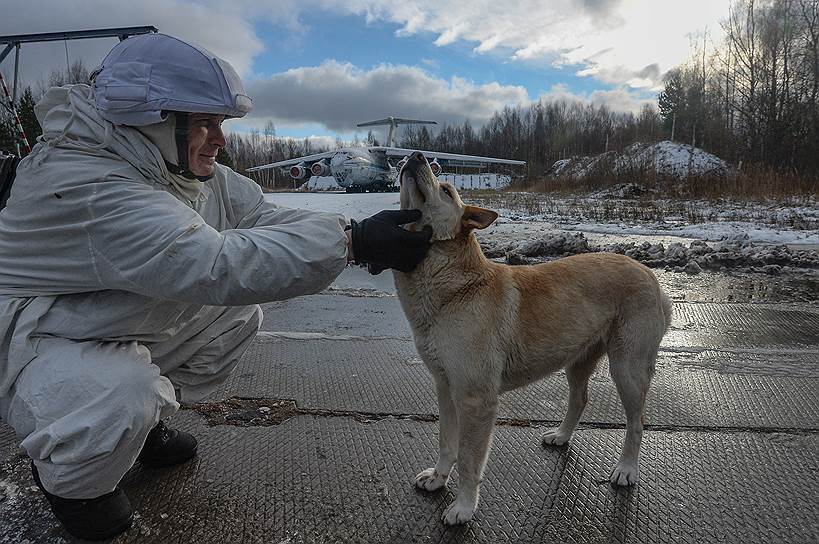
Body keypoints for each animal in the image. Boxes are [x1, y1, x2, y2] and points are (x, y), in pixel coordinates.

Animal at [396, 151, 672, 524]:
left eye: (447, 190)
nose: (415, 156)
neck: (454, 287)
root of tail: (649, 274)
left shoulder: (476, 399)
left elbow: (468, 459)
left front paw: (464, 507)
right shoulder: (445, 387)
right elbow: (445, 443)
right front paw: (439, 479)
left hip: (627, 368)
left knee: (637, 422)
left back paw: (626, 469)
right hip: (578, 360)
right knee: (579, 399)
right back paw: (562, 436)